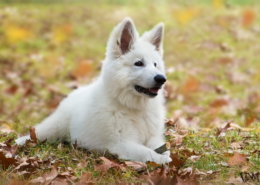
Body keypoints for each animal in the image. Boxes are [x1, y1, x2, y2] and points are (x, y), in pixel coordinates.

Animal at [15, 18, 173, 164]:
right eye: (139, 63)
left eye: (155, 64)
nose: (161, 79)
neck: (132, 107)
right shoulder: (121, 143)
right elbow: (147, 153)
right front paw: (165, 160)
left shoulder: (153, 137)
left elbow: (163, 148)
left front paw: (166, 156)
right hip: (55, 127)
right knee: (38, 133)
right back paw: (20, 142)